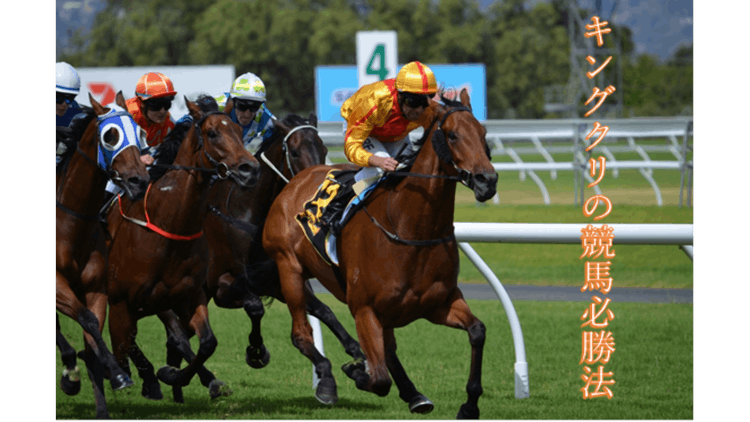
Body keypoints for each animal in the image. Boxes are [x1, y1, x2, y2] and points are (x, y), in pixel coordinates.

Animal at [55, 92, 151, 418]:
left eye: (141, 133)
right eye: (110, 136)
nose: (139, 181)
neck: (71, 222)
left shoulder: (95, 287)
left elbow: (93, 329)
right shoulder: (56, 285)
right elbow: (86, 320)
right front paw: (116, 373)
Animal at [103, 98, 262, 396]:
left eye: (239, 130)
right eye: (212, 133)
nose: (250, 169)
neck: (171, 225)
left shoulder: (189, 295)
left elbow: (206, 342)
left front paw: (176, 375)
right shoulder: (131, 299)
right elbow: (170, 338)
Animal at [262, 90, 500, 418]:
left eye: (483, 133)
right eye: (452, 135)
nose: (486, 181)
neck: (410, 229)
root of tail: (295, 181)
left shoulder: (439, 303)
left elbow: (478, 330)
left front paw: (469, 405)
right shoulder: (364, 309)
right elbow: (378, 379)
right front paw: (355, 370)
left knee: (388, 349)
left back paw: (414, 394)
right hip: (289, 268)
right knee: (301, 334)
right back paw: (328, 382)